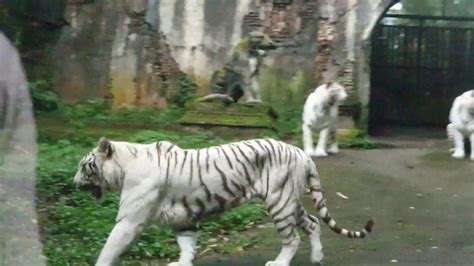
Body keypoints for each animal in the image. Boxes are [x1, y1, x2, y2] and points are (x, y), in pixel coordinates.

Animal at [73, 137, 374, 266]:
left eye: (84, 166)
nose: (74, 183)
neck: (125, 166)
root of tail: (302, 152)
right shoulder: (183, 219)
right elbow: (186, 246)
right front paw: (182, 264)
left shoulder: (130, 220)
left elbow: (109, 248)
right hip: (290, 201)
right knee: (312, 223)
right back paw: (317, 258)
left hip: (279, 202)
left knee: (292, 238)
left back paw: (279, 263)